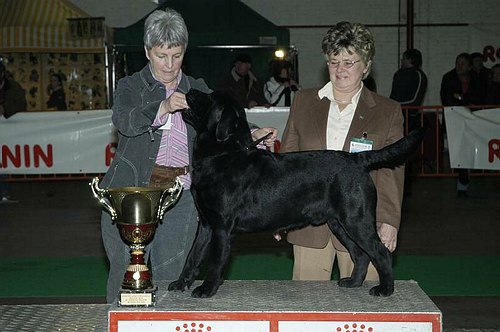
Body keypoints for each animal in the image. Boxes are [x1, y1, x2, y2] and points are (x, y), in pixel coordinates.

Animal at [168, 88, 426, 298]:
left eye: (210, 98)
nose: (190, 90)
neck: (223, 154)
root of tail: (357, 158)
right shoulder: (206, 223)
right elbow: (193, 256)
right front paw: (181, 283)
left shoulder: (222, 226)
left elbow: (214, 261)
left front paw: (207, 289)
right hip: (339, 224)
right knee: (360, 255)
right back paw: (353, 282)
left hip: (357, 220)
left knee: (380, 252)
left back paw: (385, 289)